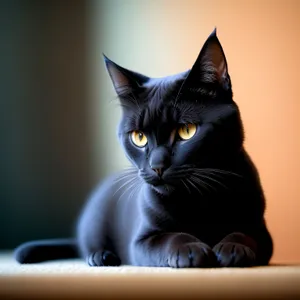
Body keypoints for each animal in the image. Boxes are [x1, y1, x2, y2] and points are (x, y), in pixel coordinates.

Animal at [13, 29, 272, 268]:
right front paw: (190, 249)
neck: (197, 200)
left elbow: (247, 234)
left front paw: (233, 247)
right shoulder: (141, 241)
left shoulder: (262, 231)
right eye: (139, 137)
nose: (157, 166)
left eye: (186, 131)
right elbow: (171, 238)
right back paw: (100, 256)